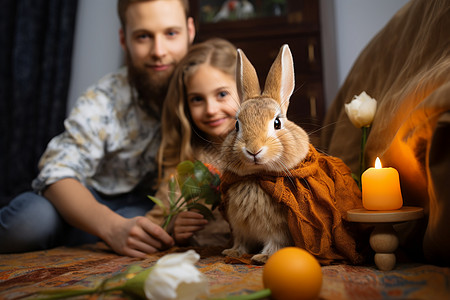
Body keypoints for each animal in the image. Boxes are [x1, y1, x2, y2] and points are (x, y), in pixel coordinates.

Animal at [220, 45, 312, 264]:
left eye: (277, 123)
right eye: (237, 125)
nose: (253, 150)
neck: (257, 176)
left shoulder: (279, 232)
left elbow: (275, 243)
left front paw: (262, 258)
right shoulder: (239, 229)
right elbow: (241, 242)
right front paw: (232, 252)